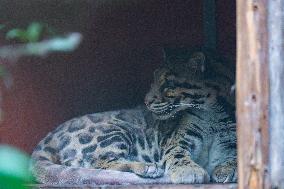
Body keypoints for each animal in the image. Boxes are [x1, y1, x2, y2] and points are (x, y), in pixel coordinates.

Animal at [30, 48, 236, 185]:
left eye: (168, 85)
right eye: (153, 80)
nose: (146, 101)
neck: (213, 112)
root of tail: (49, 136)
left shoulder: (231, 140)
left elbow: (235, 157)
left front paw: (227, 169)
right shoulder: (177, 140)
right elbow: (177, 154)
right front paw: (189, 170)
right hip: (116, 131)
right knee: (99, 163)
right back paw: (148, 168)